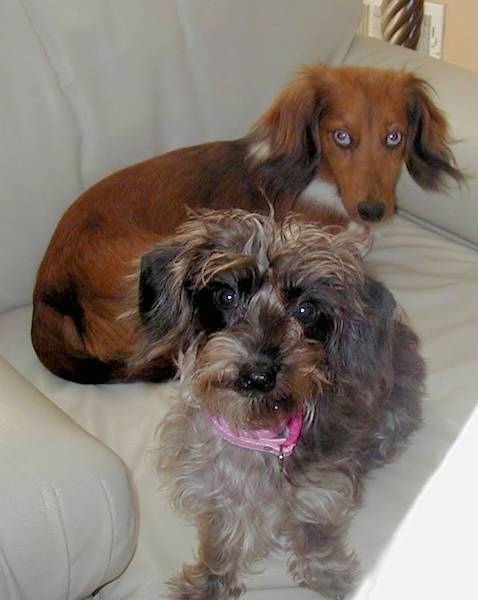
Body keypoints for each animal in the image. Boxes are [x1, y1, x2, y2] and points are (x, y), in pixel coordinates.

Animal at [144, 209, 424, 596]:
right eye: (226, 296)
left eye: (305, 309)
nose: (258, 375)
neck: (256, 432)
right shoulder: (210, 490)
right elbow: (218, 541)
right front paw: (208, 584)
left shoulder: (322, 488)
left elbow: (316, 531)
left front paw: (326, 574)